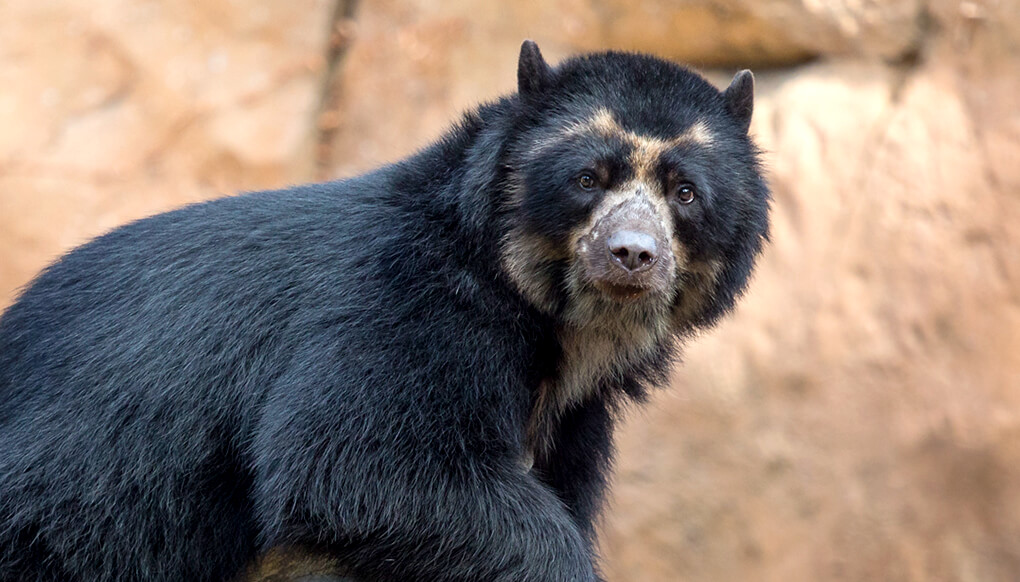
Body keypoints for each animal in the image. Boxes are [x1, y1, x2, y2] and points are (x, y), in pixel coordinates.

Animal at [0, 42, 767, 582]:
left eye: (685, 192)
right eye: (587, 179)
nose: (631, 255)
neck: (558, 325)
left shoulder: (576, 422)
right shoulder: (405, 308)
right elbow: (359, 467)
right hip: (64, 519)